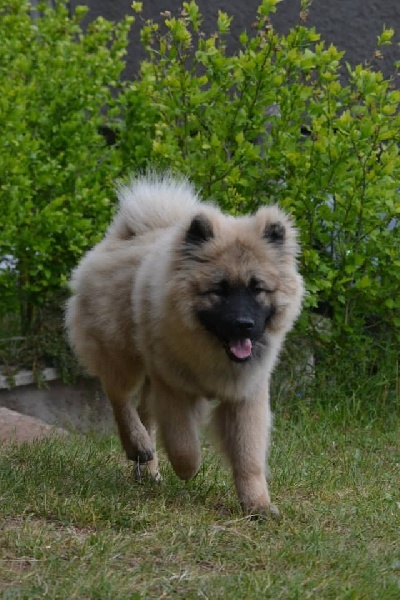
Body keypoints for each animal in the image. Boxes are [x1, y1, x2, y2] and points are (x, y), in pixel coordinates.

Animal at [66, 173, 304, 516]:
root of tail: (129, 233)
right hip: (123, 356)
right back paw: (138, 445)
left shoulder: (246, 396)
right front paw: (188, 469)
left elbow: (248, 456)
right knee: (120, 399)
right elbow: (183, 445)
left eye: (257, 288)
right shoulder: (174, 389)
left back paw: (147, 469)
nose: (244, 323)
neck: (213, 350)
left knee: (143, 412)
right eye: (219, 290)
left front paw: (257, 504)